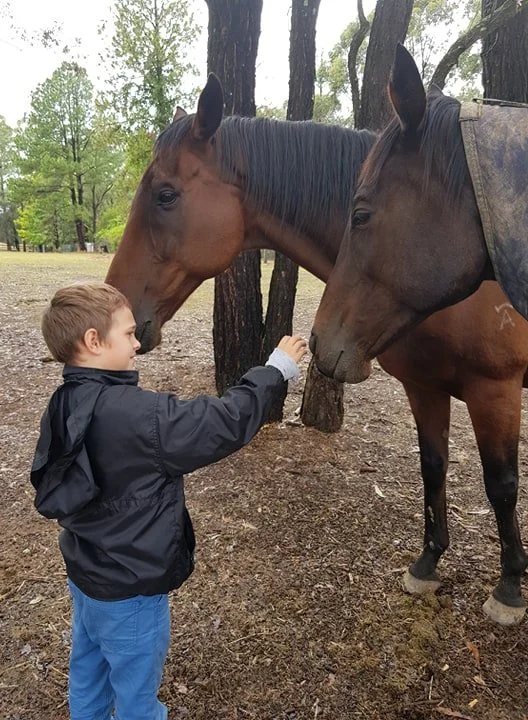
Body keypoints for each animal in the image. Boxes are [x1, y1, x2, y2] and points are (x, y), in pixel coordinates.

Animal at [106, 74, 528, 625]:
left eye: (166, 195)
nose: (116, 304)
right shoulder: (424, 387)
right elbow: (433, 468)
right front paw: (428, 562)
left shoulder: (495, 390)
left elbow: (501, 485)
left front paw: (509, 587)